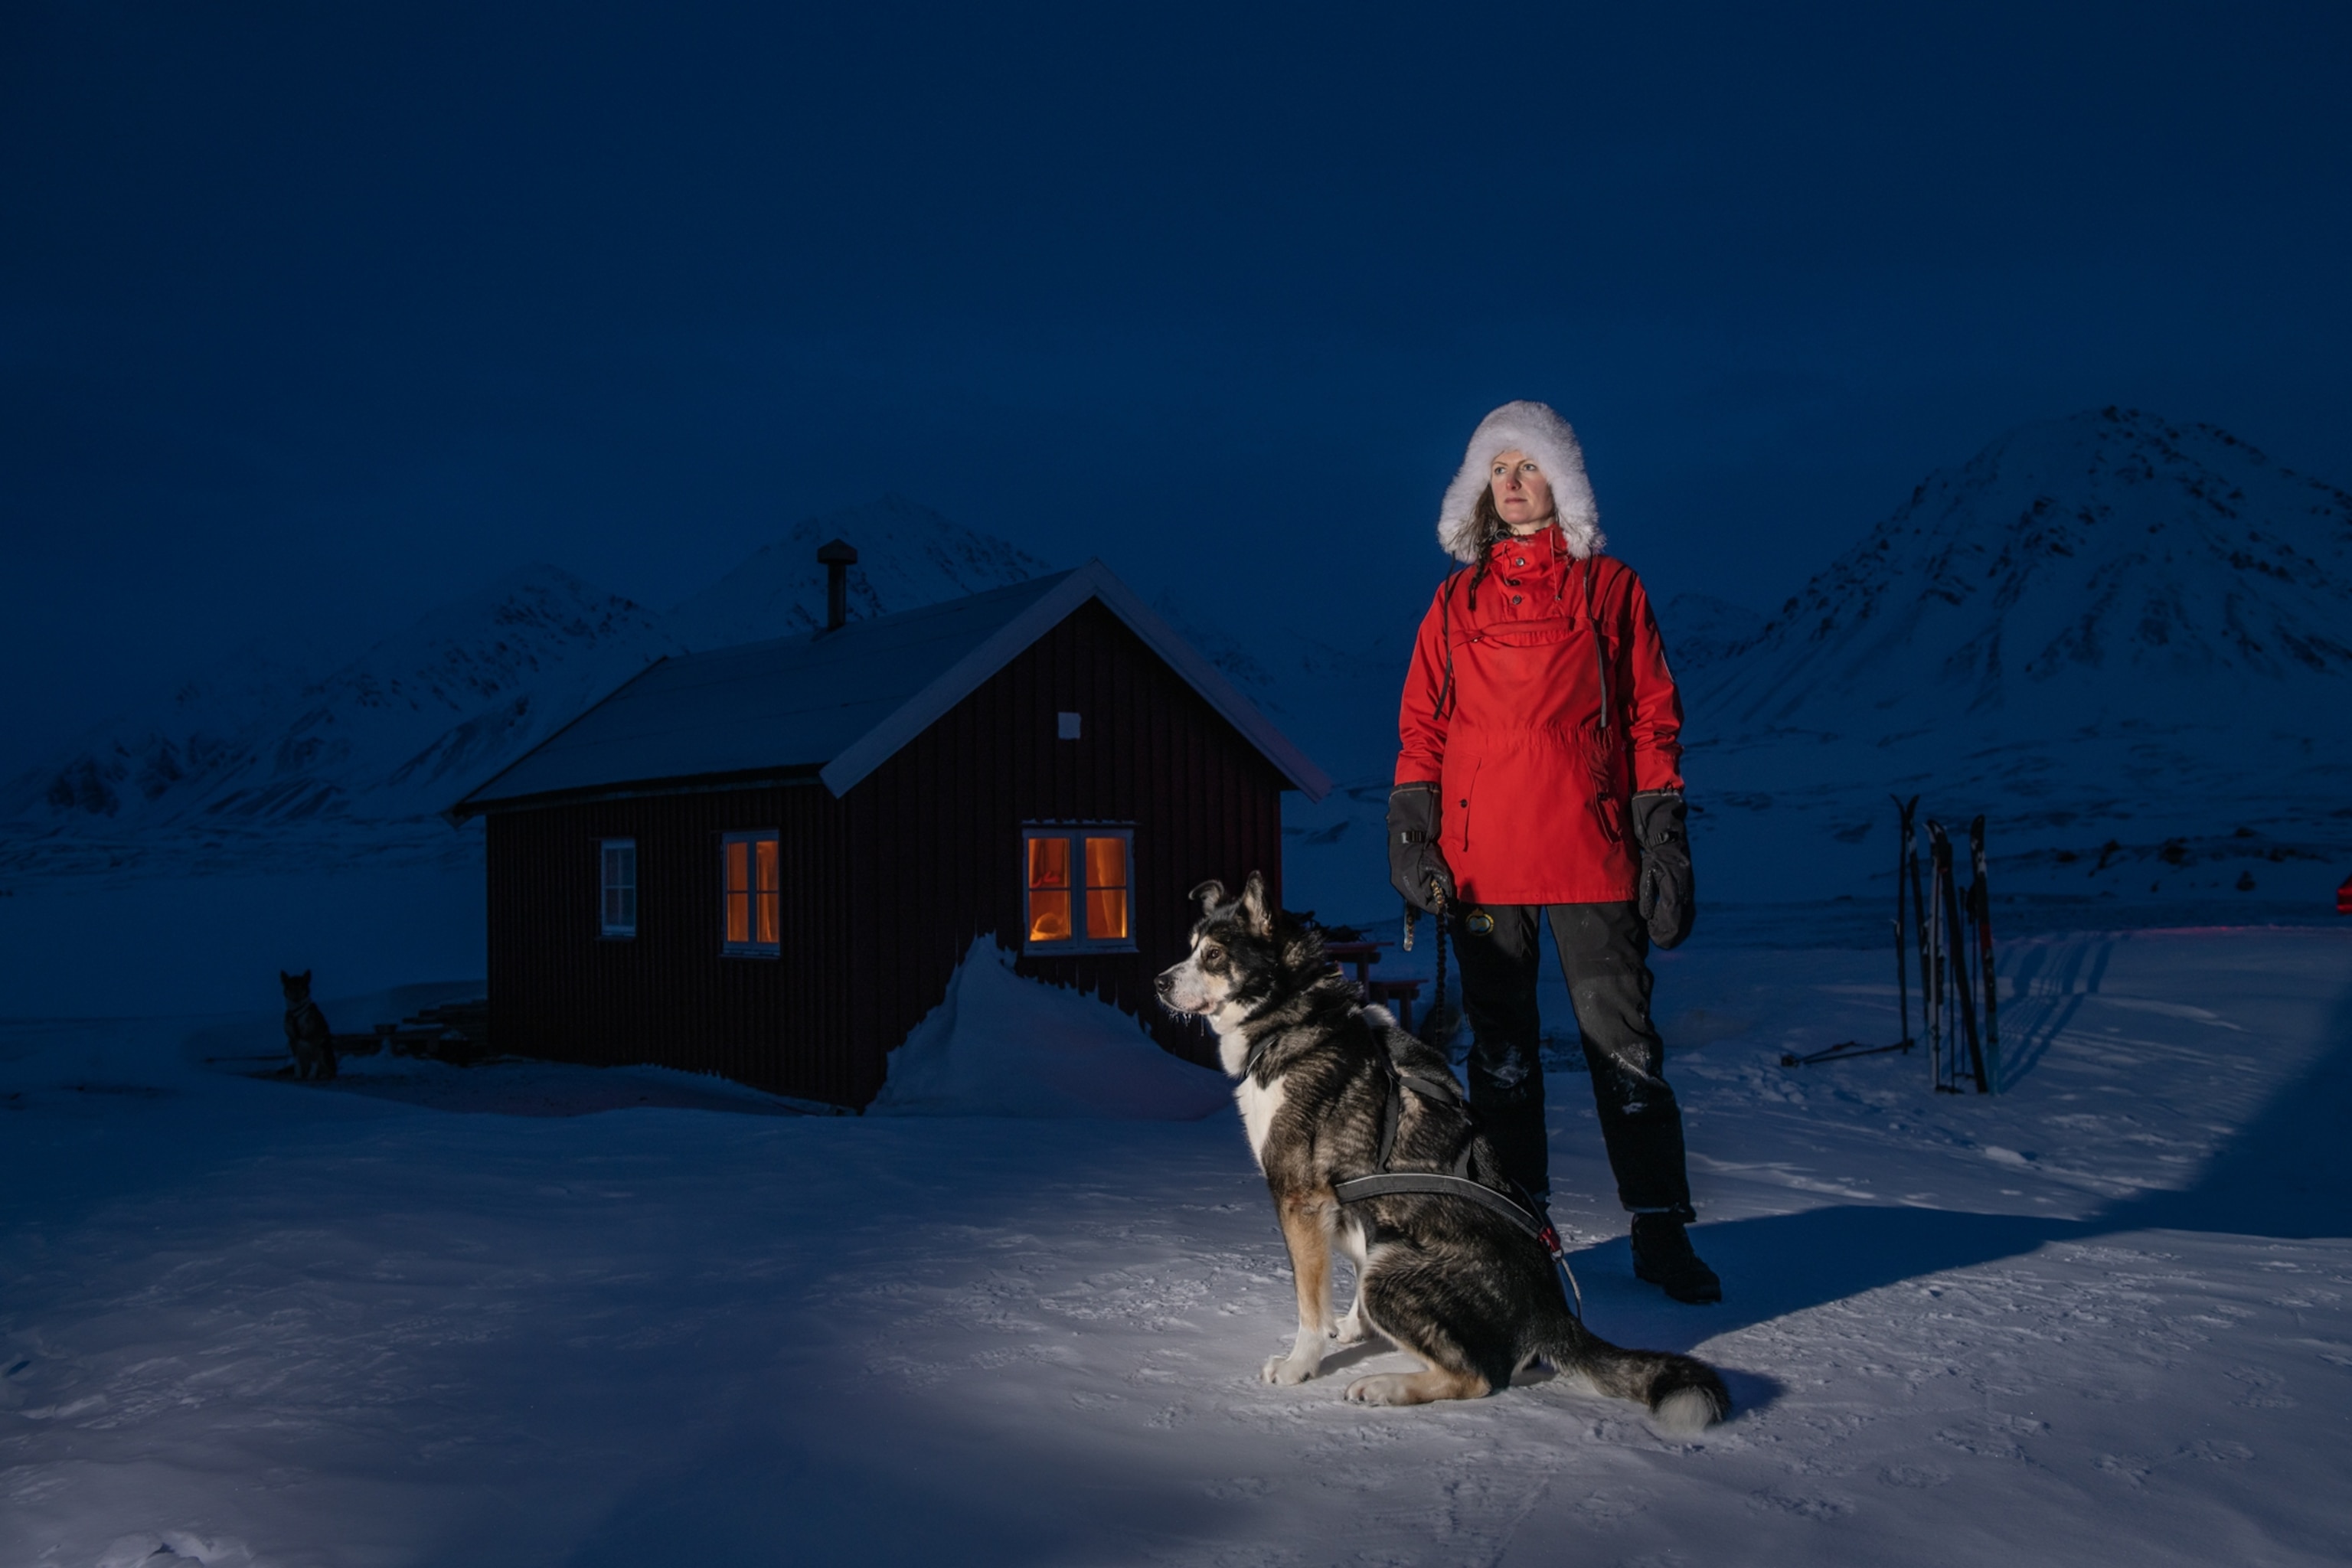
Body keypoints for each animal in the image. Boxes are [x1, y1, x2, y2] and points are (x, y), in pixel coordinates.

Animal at [281, 969, 341, 1081]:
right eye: (291, 987)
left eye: (301, 987)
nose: (296, 999)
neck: (297, 1014)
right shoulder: (293, 1040)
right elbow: (297, 1062)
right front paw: (297, 1075)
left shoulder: (315, 1039)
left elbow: (314, 1061)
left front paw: (311, 1076)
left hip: (323, 1050)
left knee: (329, 1071)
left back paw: (323, 1075)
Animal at [1157, 870, 1730, 1439]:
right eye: (1190, 948)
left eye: (1213, 954)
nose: (1160, 982)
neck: (1292, 1018)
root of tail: (1554, 1312)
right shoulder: (1354, 1212)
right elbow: (1344, 1287)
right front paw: (1352, 1328)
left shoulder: (1301, 1199)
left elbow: (1308, 1305)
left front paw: (1300, 1366)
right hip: (1387, 1257)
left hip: (1391, 1273)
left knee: (1477, 1377)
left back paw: (1384, 1386)